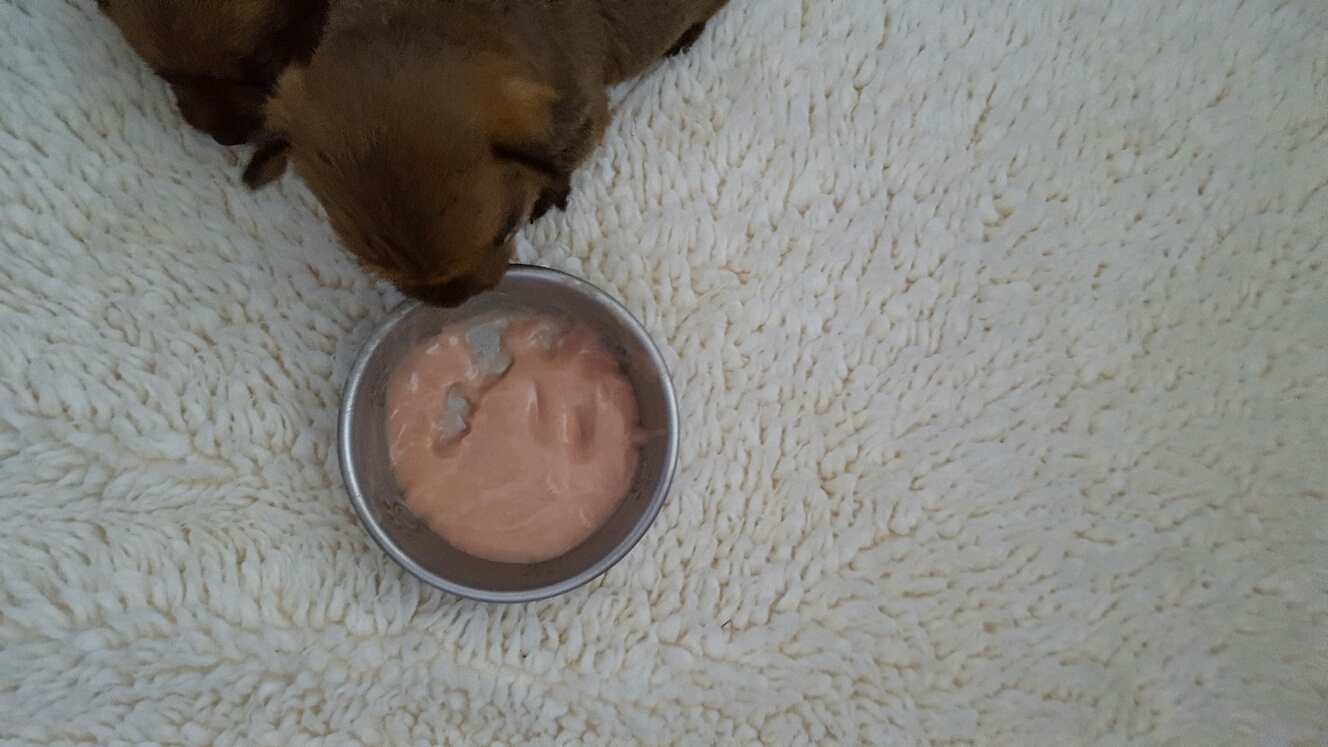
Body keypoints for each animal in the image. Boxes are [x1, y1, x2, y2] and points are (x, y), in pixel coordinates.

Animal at [242, 0, 728, 305]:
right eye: (370, 262)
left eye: (507, 228)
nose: (455, 303)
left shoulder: (582, 115)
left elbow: (562, 163)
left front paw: (551, 192)